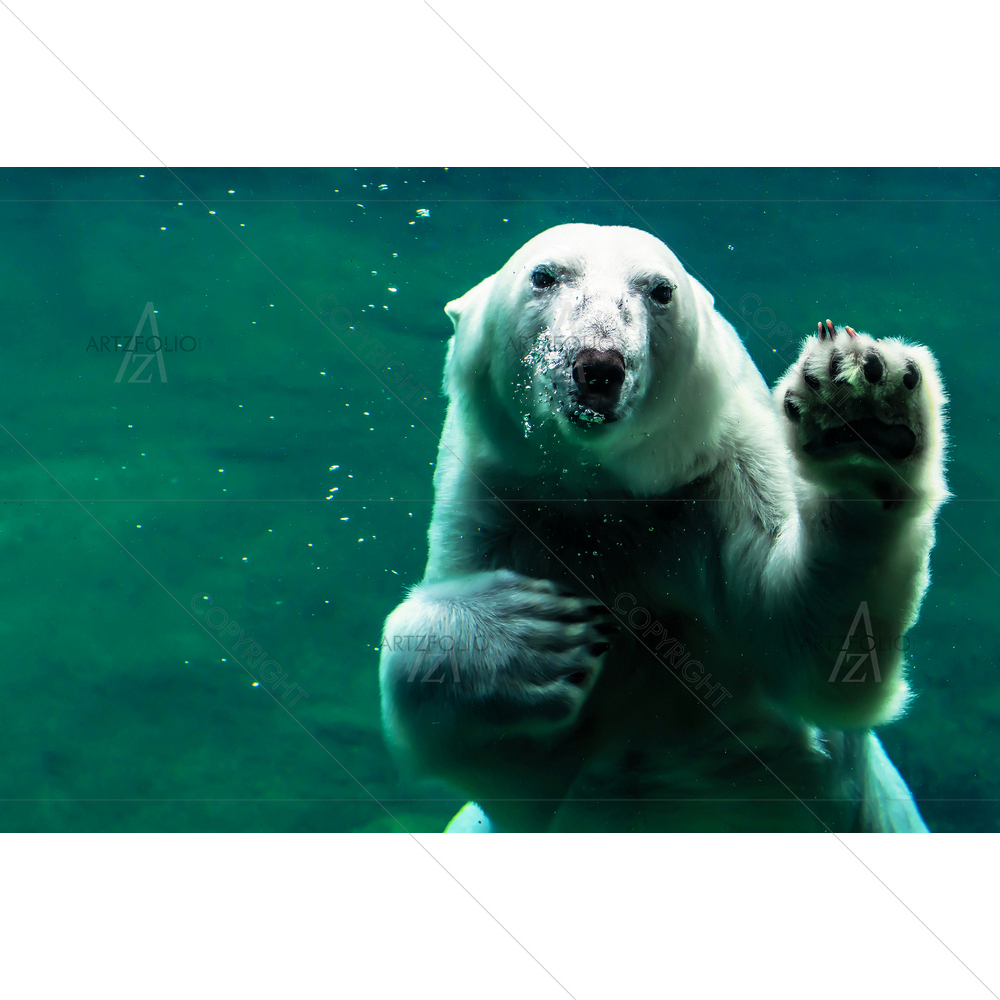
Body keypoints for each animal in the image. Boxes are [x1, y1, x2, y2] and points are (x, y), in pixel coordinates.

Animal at [378, 223, 948, 832]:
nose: (598, 365)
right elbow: (498, 757)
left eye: (660, 290)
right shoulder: (502, 504)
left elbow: (808, 643)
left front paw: (863, 410)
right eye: (544, 275)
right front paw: (538, 631)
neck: (606, 493)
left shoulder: (721, 474)